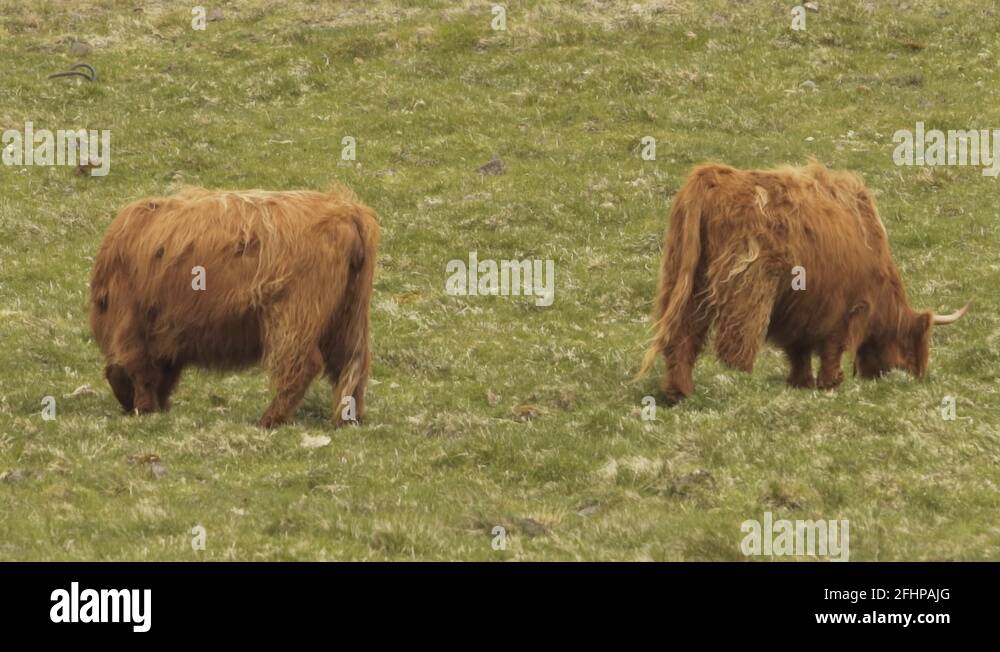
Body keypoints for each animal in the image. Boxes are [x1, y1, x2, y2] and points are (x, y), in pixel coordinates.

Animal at [89, 186, 379, 428]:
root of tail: (345, 211)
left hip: (294, 315)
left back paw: (269, 420)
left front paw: (145, 408)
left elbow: (141, 371)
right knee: (353, 363)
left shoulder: (133, 327)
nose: (129, 409)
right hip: (350, 316)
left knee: (302, 365)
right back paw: (348, 418)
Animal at [638, 162, 969, 402]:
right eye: (912, 347)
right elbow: (832, 348)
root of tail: (713, 175)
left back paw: (678, 392)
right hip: (748, 287)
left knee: (682, 334)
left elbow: (798, 349)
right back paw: (738, 386)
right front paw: (830, 383)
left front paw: (802, 382)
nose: (916, 377)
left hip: (682, 278)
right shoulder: (847, 309)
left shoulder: (804, 310)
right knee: (735, 344)